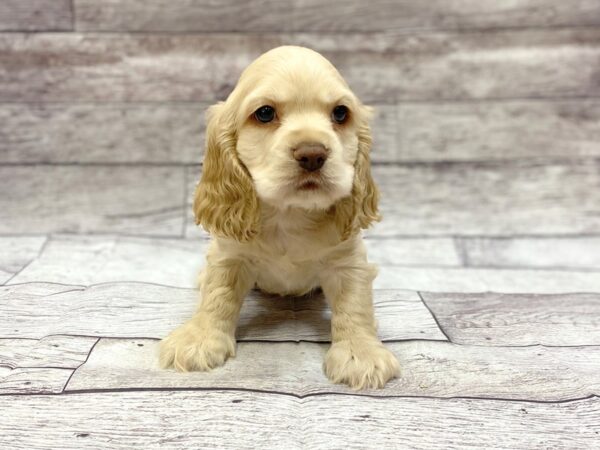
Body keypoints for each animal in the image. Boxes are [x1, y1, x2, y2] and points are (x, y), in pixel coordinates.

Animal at [162, 46, 400, 390]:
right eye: (264, 113)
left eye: (340, 114)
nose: (313, 154)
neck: (290, 214)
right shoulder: (229, 255)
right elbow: (218, 295)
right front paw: (200, 339)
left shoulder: (348, 261)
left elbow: (354, 305)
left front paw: (360, 353)